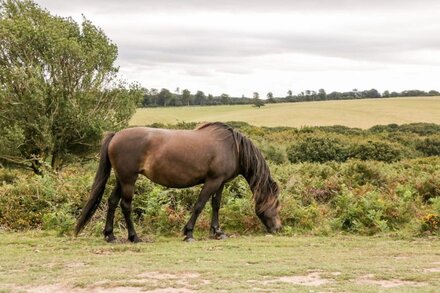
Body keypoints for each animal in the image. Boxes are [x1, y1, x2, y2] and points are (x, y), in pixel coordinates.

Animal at [74, 121, 280, 242]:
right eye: (277, 205)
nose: (278, 228)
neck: (232, 147)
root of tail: (115, 135)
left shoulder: (220, 182)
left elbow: (215, 205)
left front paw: (217, 232)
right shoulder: (212, 181)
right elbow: (199, 205)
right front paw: (188, 233)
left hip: (121, 179)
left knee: (112, 202)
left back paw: (110, 236)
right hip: (128, 179)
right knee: (125, 205)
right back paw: (134, 237)